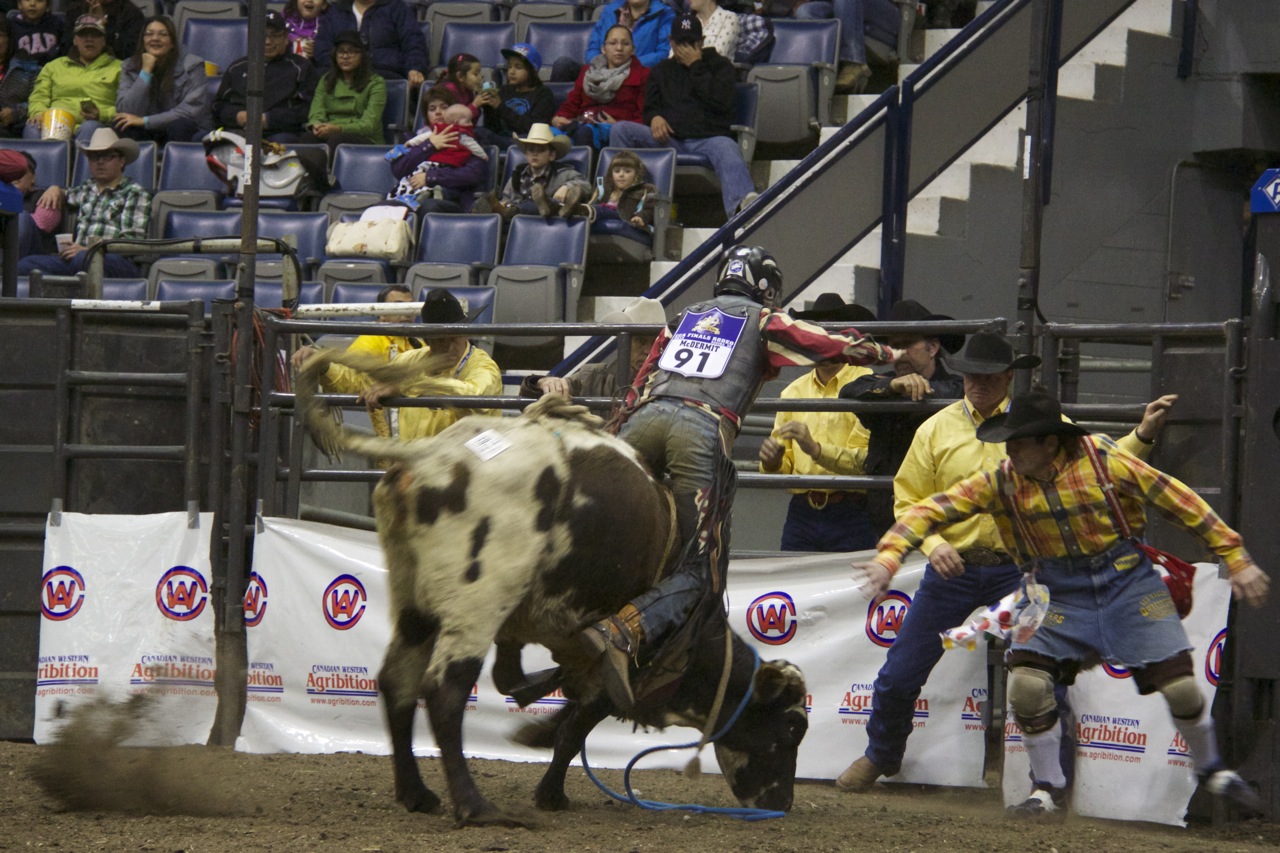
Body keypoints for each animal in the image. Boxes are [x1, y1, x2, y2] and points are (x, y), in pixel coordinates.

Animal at [295, 350, 809, 828]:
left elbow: (537, 692)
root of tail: (429, 457)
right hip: (478, 600)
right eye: (790, 729)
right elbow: (576, 726)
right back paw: (476, 807)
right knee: (444, 690)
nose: (783, 803)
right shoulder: (623, 669)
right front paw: (551, 789)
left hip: (413, 599)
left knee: (397, 682)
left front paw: (534, 722)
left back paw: (417, 794)